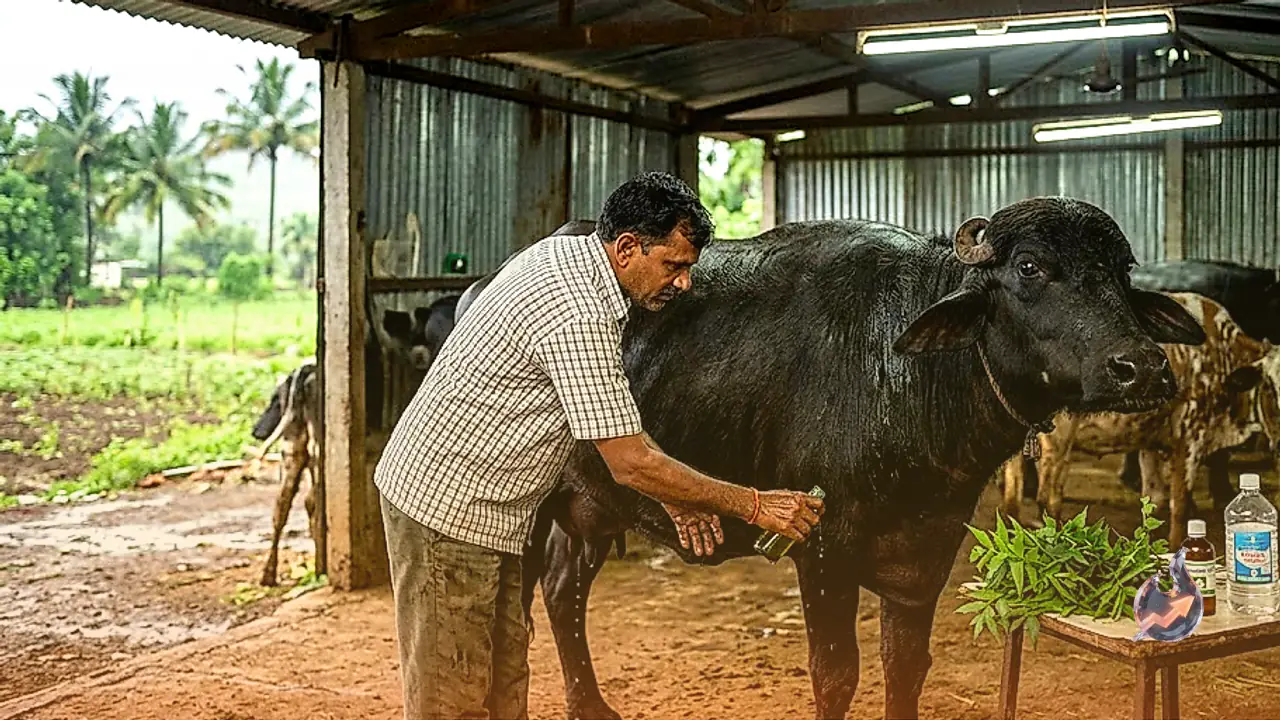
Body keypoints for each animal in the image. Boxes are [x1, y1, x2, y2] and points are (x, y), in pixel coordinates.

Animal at [452, 197, 1205, 720]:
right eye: (1029, 268)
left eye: (1121, 273)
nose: (1141, 367)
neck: (908, 380)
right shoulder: (821, 553)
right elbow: (836, 674)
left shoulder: (925, 559)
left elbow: (906, 668)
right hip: (525, 510)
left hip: (594, 502)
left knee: (563, 591)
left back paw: (591, 704)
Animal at [1001, 292, 1280, 546]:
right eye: (1269, 385)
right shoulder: (1190, 438)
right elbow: (1179, 506)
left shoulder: (1150, 442)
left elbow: (1154, 501)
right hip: (1058, 440)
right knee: (1048, 498)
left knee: (1011, 497)